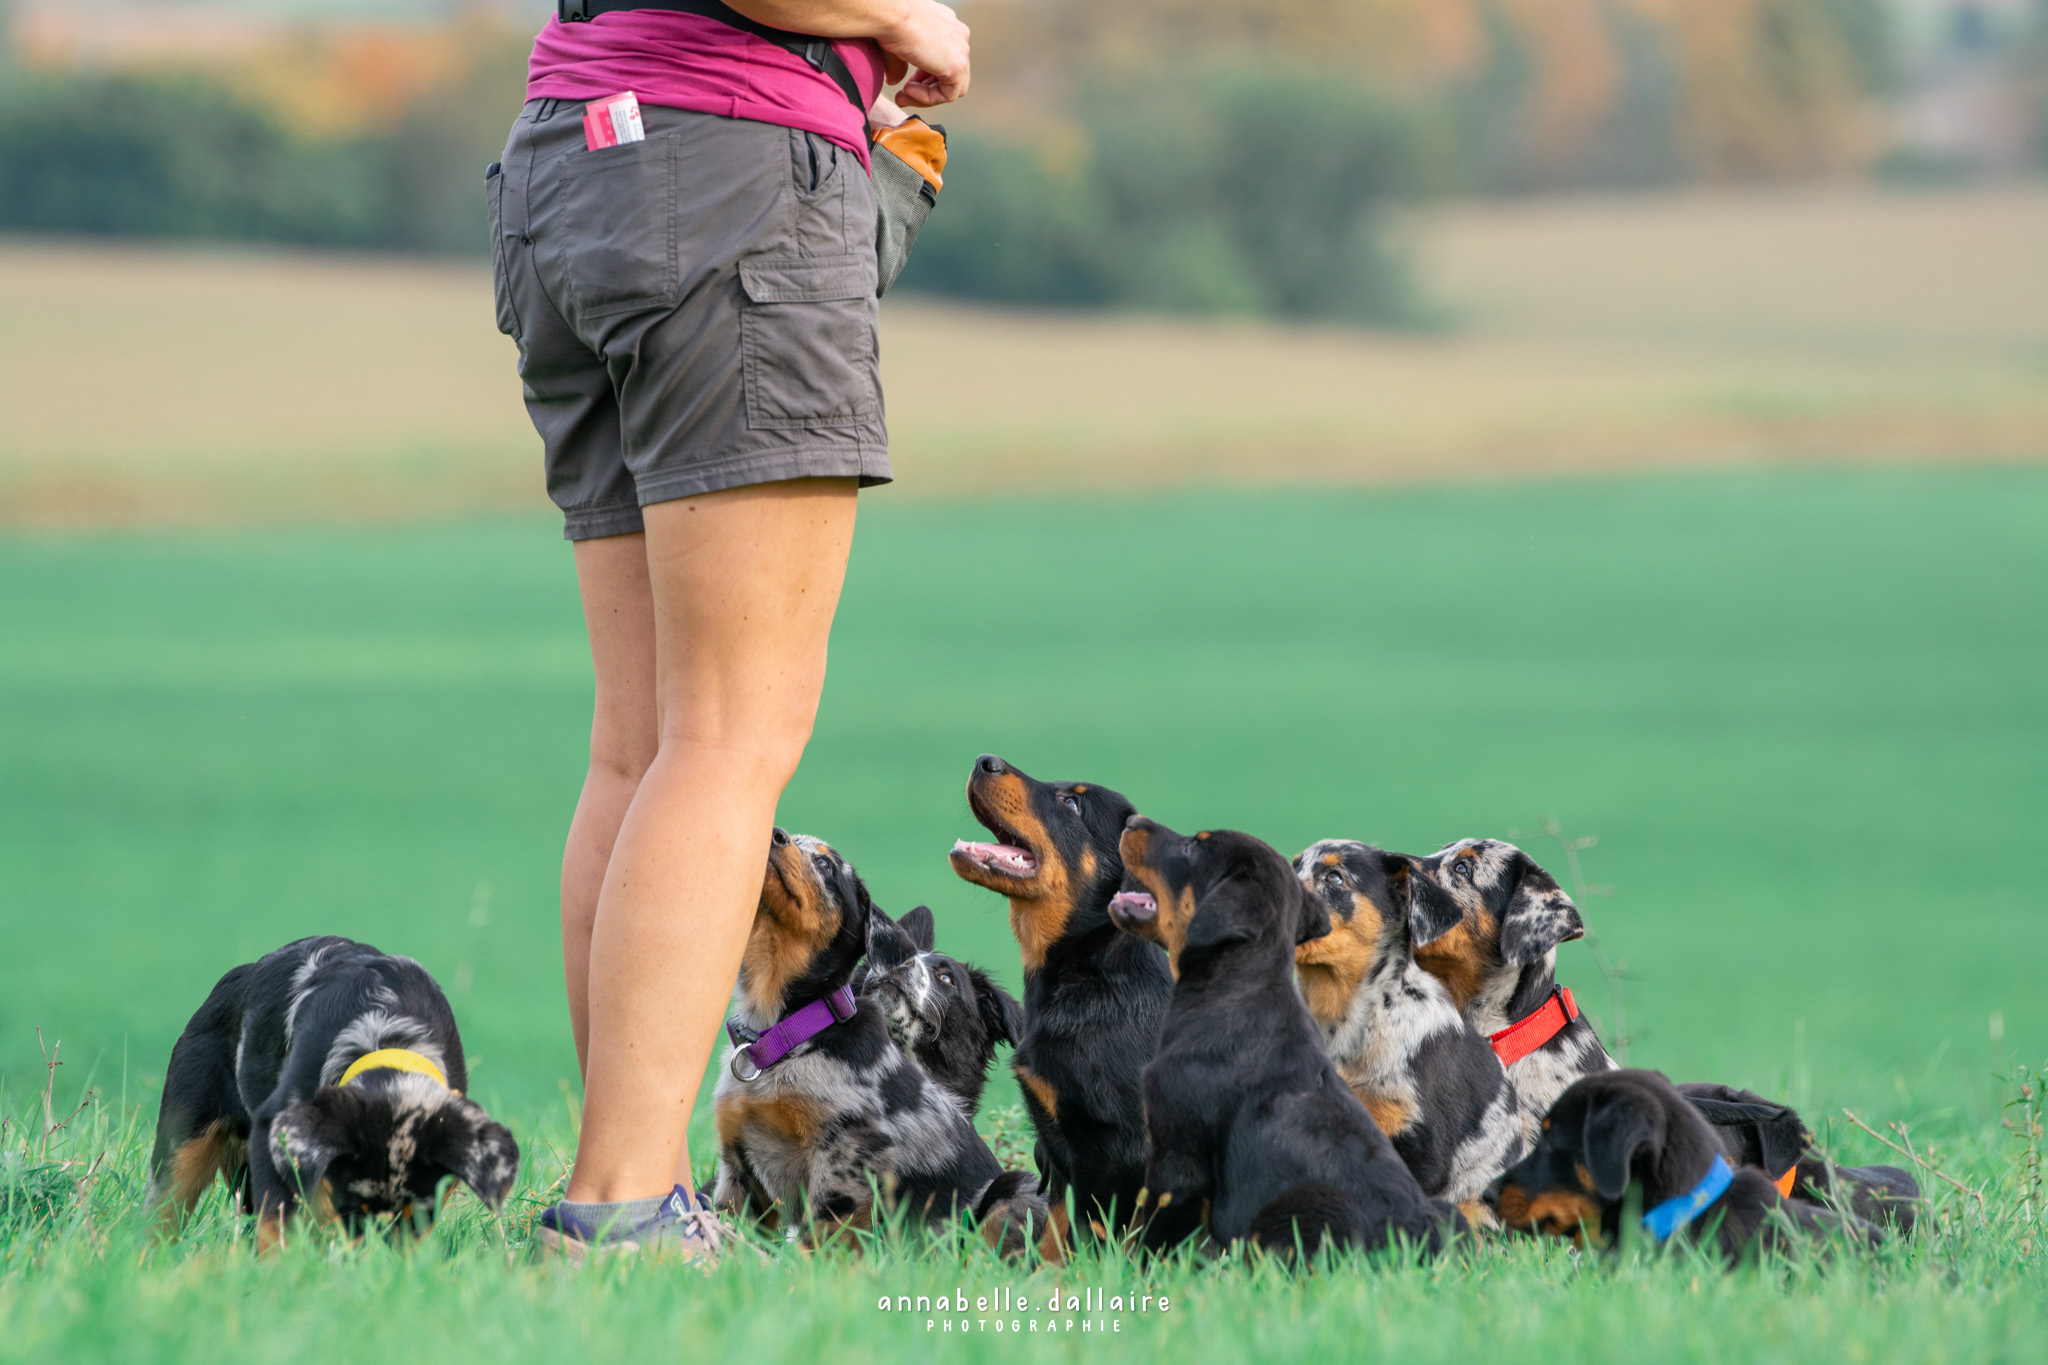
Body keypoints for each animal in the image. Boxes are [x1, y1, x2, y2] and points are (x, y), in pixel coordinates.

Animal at [144, 941, 520, 1252]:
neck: (385, 1031)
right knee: (161, 1209)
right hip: (185, 1130)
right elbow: (277, 1221)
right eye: (352, 1208)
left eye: (414, 1216)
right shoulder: (274, 1127)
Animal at [950, 753, 1179, 1252]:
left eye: (1073, 804)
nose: (983, 761)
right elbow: (1055, 1242)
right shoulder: (1057, 1156)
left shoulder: (1124, 1149)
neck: (1090, 971)